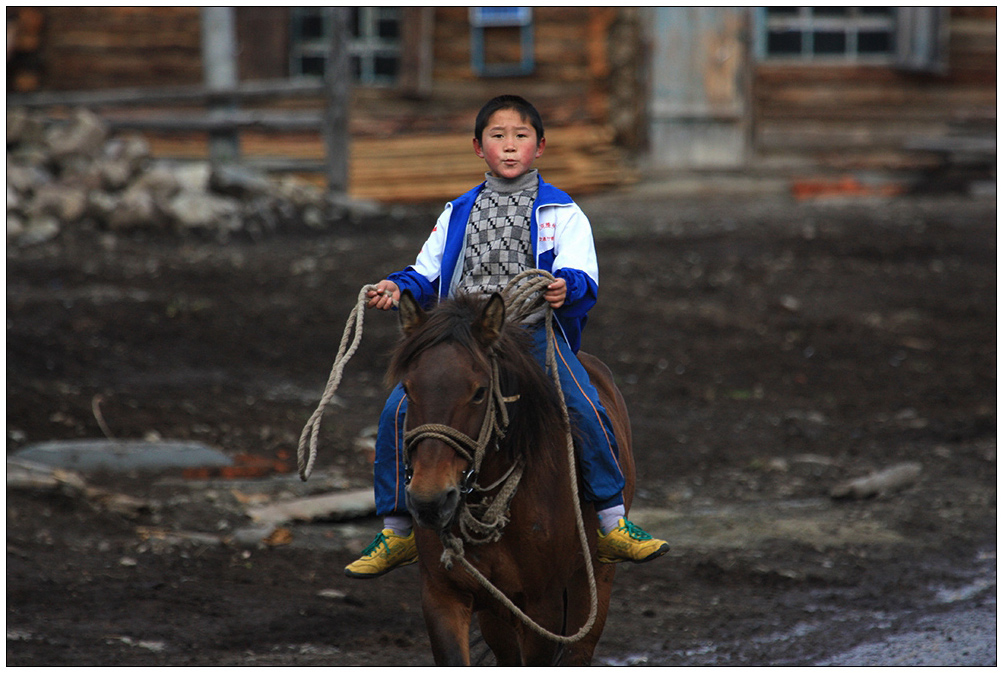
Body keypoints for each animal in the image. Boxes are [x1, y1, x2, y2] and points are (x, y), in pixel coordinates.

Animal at [387, 292, 629, 665]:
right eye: (407, 389)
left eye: (479, 391)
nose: (430, 499)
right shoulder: (443, 596)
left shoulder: (542, 607)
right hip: (496, 614)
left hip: (593, 583)